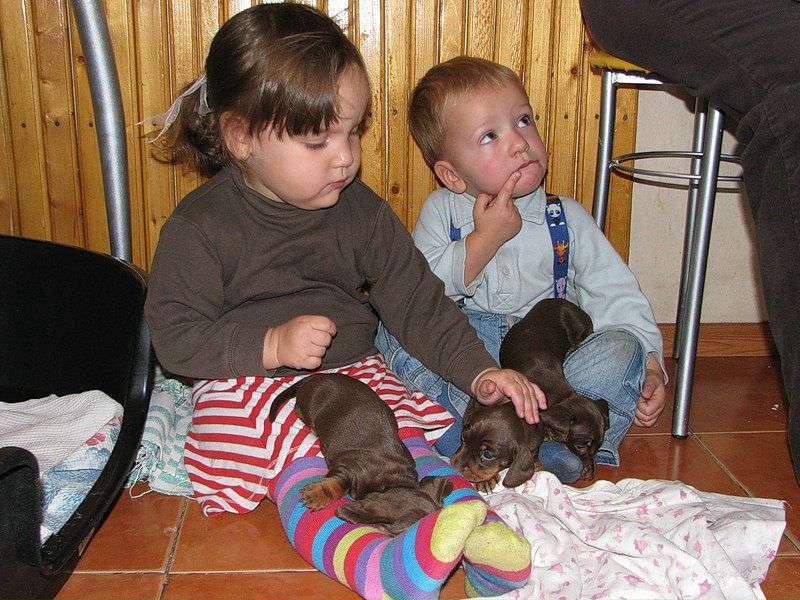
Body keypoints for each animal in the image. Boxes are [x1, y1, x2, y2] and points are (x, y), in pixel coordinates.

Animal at [268, 373, 452, 535]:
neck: (391, 482)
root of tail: (316, 376)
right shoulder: (349, 469)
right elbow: (339, 485)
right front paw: (318, 494)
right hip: (308, 409)